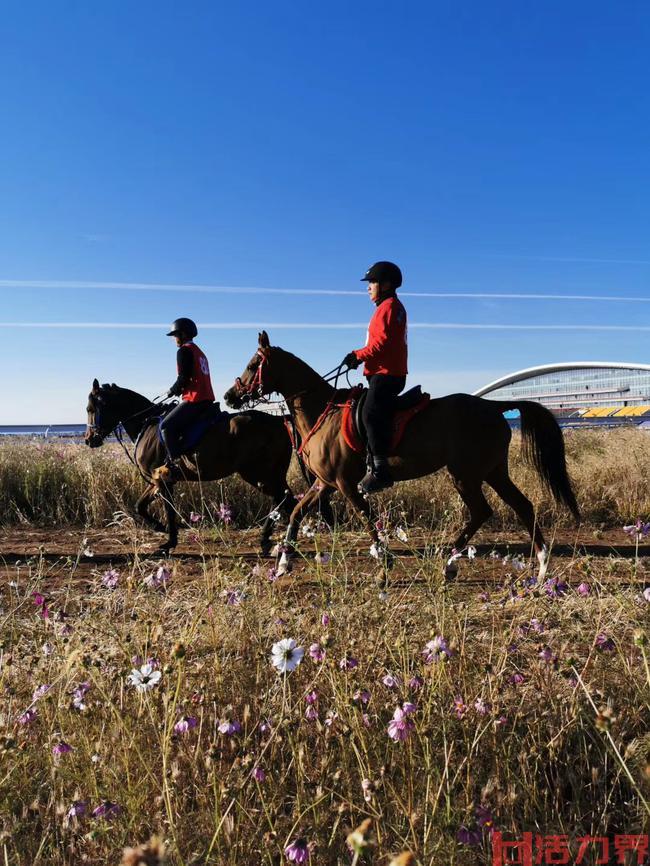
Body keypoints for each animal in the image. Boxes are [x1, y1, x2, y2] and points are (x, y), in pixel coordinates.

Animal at [84, 378, 312, 552]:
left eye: (90, 408)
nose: (89, 439)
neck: (146, 424)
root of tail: (279, 420)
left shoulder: (164, 482)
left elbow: (169, 511)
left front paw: (169, 542)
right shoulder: (157, 481)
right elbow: (140, 505)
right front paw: (159, 527)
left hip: (258, 474)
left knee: (284, 500)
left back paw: (272, 540)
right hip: (269, 475)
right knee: (286, 500)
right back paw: (275, 540)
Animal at [223, 334, 576, 576]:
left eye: (253, 365)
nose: (229, 395)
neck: (322, 410)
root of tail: (494, 405)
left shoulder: (345, 483)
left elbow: (366, 518)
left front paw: (384, 559)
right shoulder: (324, 483)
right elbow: (296, 512)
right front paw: (284, 561)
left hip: (466, 474)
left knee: (482, 511)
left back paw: (451, 562)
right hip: (492, 471)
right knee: (521, 506)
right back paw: (541, 566)